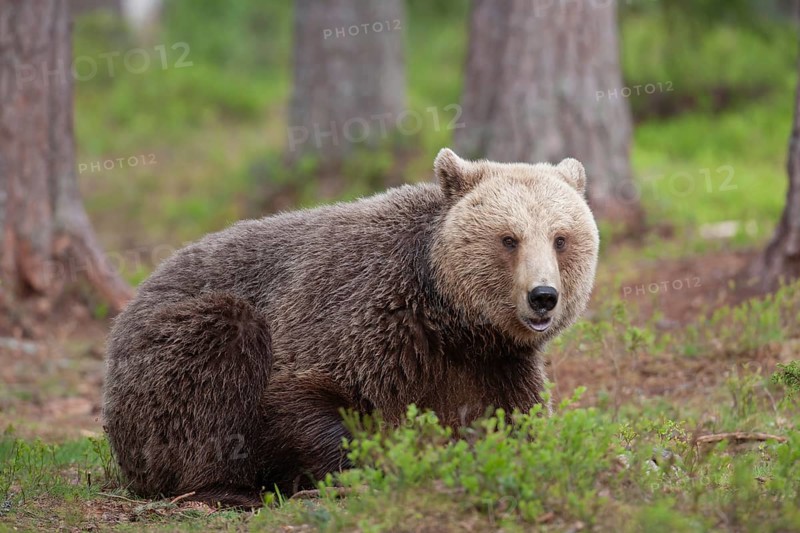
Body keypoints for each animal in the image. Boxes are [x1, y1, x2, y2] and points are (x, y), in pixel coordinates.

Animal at [102, 148, 599, 508]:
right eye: (508, 238)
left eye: (561, 238)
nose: (543, 296)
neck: (450, 319)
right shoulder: (358, 319)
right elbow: (295, 397)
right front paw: (362, 467)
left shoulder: (494, 365)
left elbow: (517, 423)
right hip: (167, 348)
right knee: (219, 353)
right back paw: (226, 490)